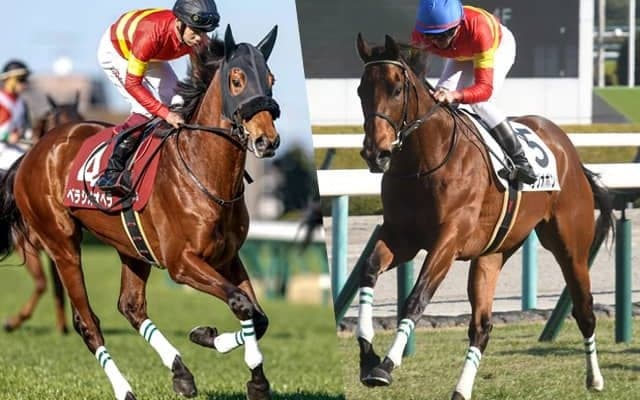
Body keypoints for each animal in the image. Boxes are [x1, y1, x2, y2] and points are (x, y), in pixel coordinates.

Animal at [2, 92, 83, 334]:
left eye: (80, 116)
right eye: (56, 120)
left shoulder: (55, 245)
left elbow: (58, 285)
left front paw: (62, 326)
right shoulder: (24, 245)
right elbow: (41, 283)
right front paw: (13, 321)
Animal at [352, 34, 615, 400]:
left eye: (396, 89)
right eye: (361, 90)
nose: (376, 153)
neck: (424, 161)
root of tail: (568, 150)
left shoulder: (448, 240)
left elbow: (416, 298)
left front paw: (386, 365)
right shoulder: (401, 236)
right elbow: (369, 270)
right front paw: (368, 355)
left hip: (570, 247)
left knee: (585, 310)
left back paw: (595, 378)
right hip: (493, 253)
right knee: (482, 326)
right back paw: (461, 390)